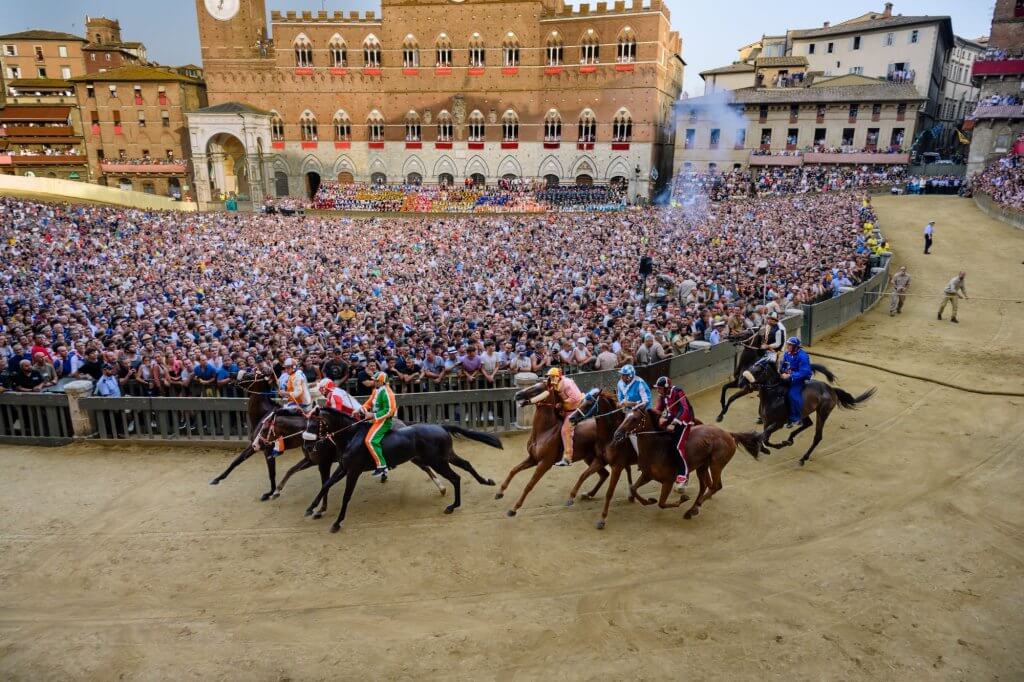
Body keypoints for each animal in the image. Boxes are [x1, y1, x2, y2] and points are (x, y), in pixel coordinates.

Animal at [610, 405, 765, 522]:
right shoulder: (647, 475)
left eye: (634, 418)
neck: (657, 448)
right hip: (702, 467)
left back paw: (693, 509)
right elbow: (633, 489)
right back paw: (693, 508)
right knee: (706, 486)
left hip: (716, 464)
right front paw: (649, 501)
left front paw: (683, 498)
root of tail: (729, 434)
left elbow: (662, 503)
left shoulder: (668, 481)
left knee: (716, 486)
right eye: (625, 417)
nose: (617, 434)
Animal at [741, 356, 876, 462]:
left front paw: (773, 447)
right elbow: (764, 437)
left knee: (818, 436)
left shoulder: (778, 423)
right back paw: (789, 440)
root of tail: (832, 390)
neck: (774, 396)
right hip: (805, 412)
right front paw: (770, 448)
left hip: (823, 412)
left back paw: (803, 458)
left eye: (759, 370)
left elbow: (764, 437)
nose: (743, 380)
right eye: (753, 365)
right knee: (808, 424)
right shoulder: (767, 421)